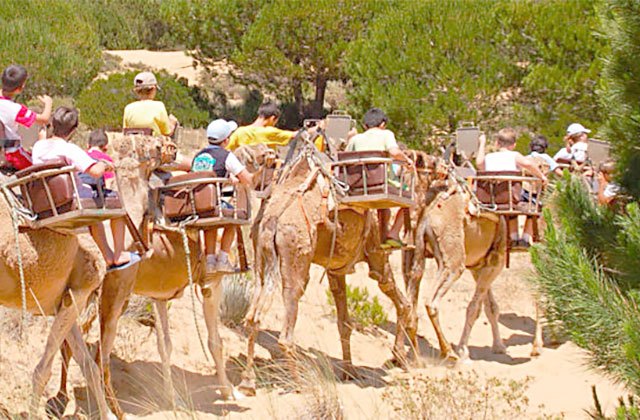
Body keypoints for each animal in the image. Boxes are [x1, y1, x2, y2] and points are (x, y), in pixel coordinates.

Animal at [53, 141, 274, 416]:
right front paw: (229, 391)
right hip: (114, 290)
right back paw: (111, 408)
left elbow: (165, 346)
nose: (273, 157)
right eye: (261, 155)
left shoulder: (158, 294)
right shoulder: (212, 283)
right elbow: (215, 341)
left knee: (70, 341)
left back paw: (62, 398)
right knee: (96, 348)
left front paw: (173, 398)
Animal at [239, 143, 410, 396]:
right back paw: (299, 384)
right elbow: (402, 302)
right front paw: (400, 358)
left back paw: (248, 382)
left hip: (262, 257)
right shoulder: (377, 257)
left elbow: (344, 323)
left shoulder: (335, 269)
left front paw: (350, 371)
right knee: (286, 327)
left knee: (254, 316)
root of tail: (273, 221)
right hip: (297, 262)